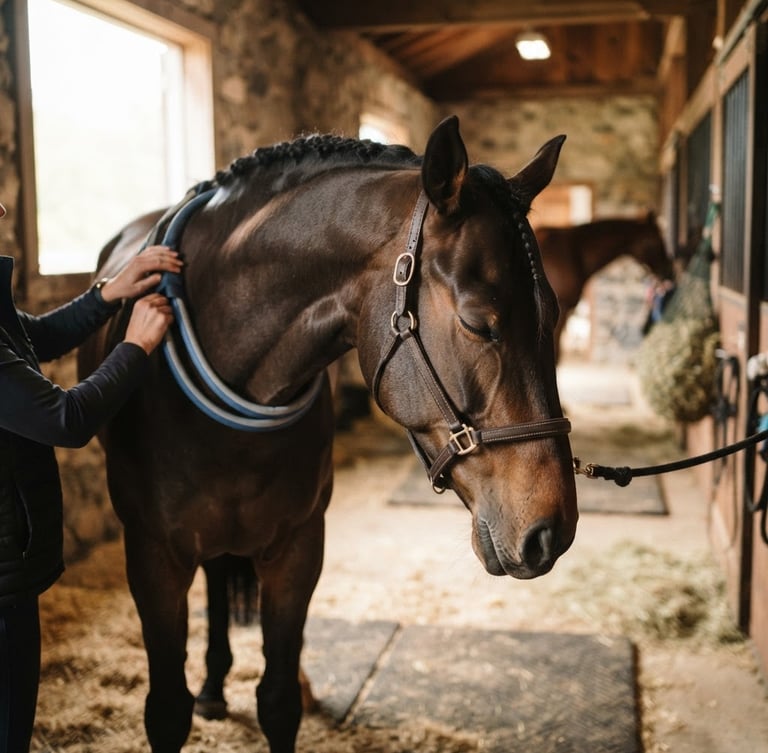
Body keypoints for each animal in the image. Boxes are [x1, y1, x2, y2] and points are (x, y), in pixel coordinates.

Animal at [78, 115, 578, 753]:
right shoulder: (151, 556)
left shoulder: (298, 549)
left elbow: (278, 700)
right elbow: (167, 711)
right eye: (476, 323)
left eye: (552, 315)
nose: (552, 531)